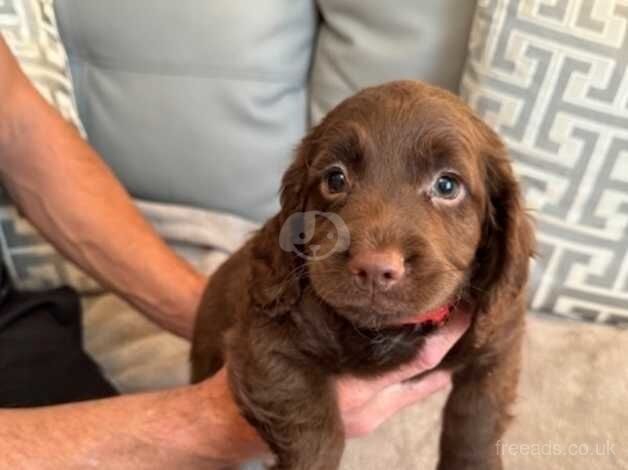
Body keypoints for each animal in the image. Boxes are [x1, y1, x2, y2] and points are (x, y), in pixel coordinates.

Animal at [193, 81, 536, 470]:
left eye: (447, 186)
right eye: (335, 179)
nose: (374, 267)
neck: (384, 333)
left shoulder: (499, 337)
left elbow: (478, 417)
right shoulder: (265, 339)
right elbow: (315, 430)